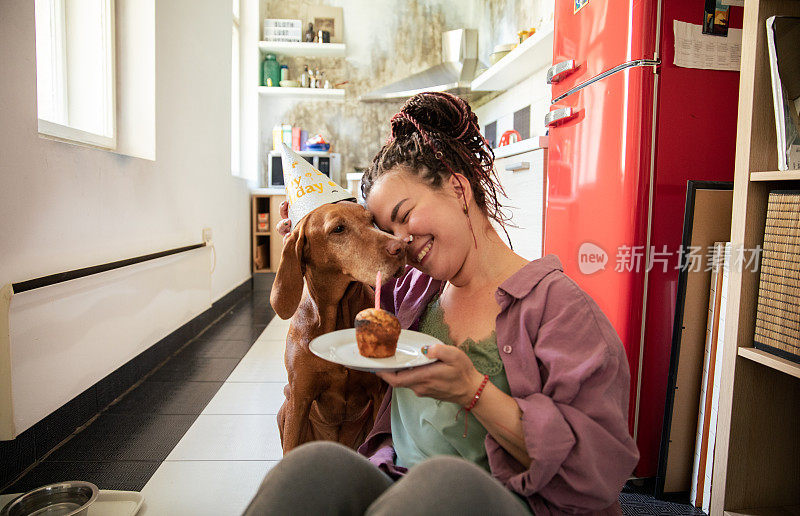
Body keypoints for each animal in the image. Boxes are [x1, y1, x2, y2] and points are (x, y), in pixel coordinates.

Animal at [270, 200, 406, 454]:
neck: (338, 316)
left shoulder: (378, 392)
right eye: (339, 229)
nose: (401, 247)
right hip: (285, 407)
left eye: (370, 220)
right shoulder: (299, 398)